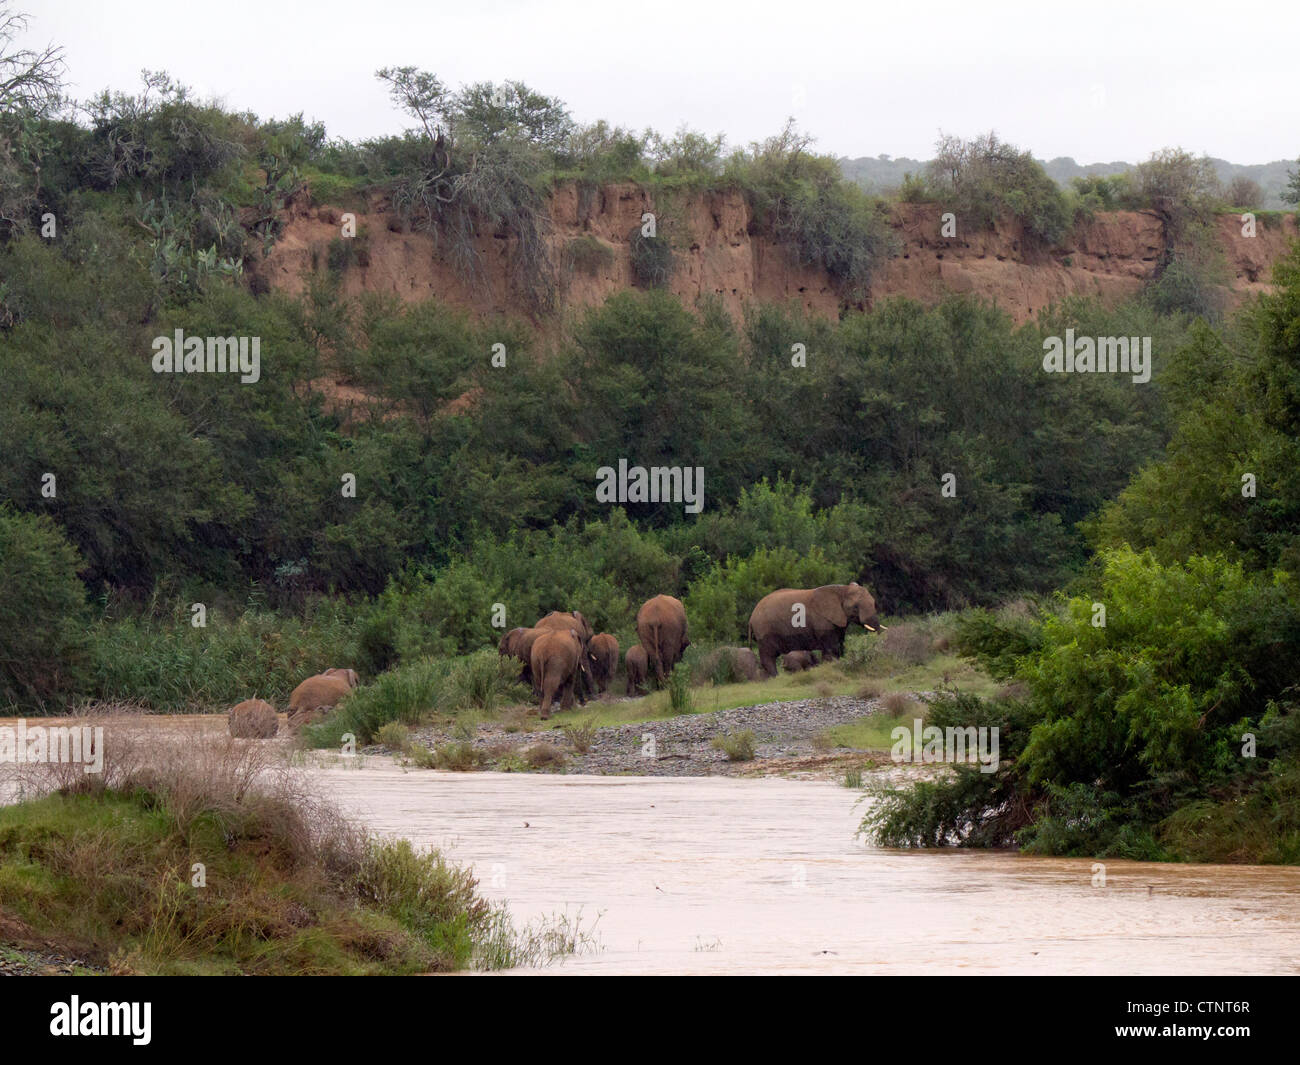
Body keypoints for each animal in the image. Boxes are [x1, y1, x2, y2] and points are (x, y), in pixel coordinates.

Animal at [748, 587, 878, 681]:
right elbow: (831, 648)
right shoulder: (823, 621)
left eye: (874, 603)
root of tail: (751, 617)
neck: (842, 589)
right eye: (855, 607)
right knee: (768, 656)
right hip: (764, 631)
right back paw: (776, 678)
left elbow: (839, 646)